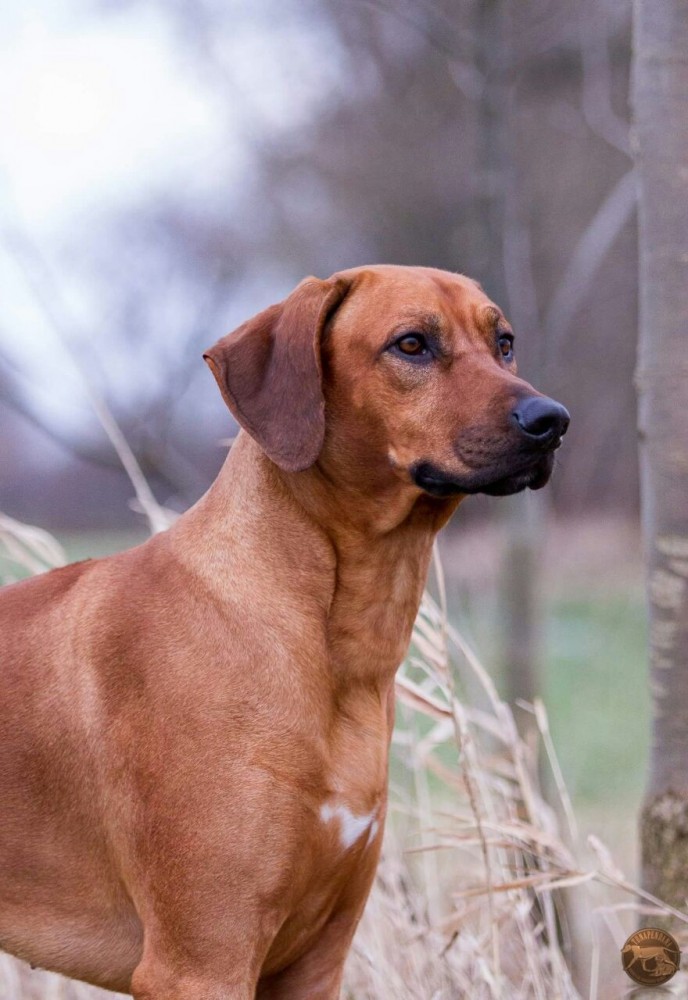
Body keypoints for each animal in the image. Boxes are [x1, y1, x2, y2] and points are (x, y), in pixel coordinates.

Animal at [0, 265, 569, 998]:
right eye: (412, 344)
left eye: (504, 343)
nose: (551, 421)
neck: (324, 637)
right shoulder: (201, 961)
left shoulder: (316, 960)